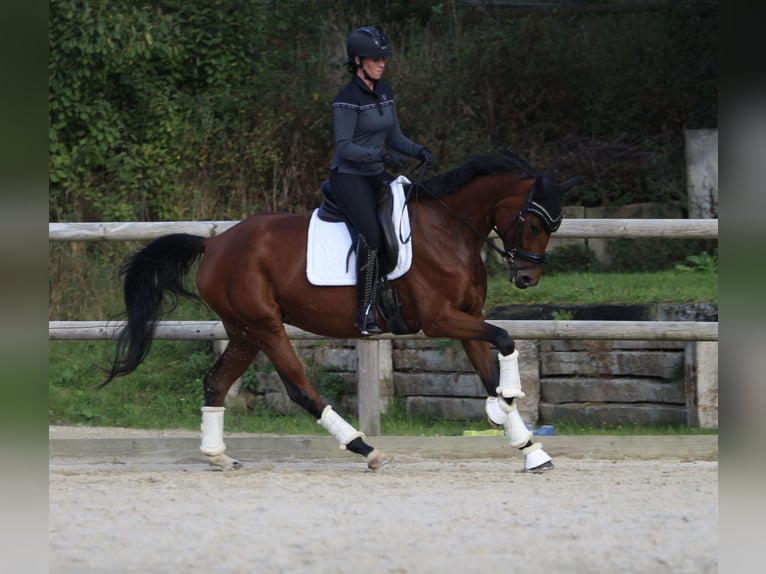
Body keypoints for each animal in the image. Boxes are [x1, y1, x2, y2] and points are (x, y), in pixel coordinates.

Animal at [102, 150, 582, 472]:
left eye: (554, 225)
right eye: (534, 222)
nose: (527, 279)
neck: (449, 229)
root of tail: (214, 244)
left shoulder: (466, 318)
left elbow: (489, 368)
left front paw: (528, 446)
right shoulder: (439, 319)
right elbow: (505, 338)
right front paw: (508, 402)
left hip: (243, 332)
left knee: (216, 382)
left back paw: (217, 455)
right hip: (265, 326)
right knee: (300, 389)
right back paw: (364, 448)